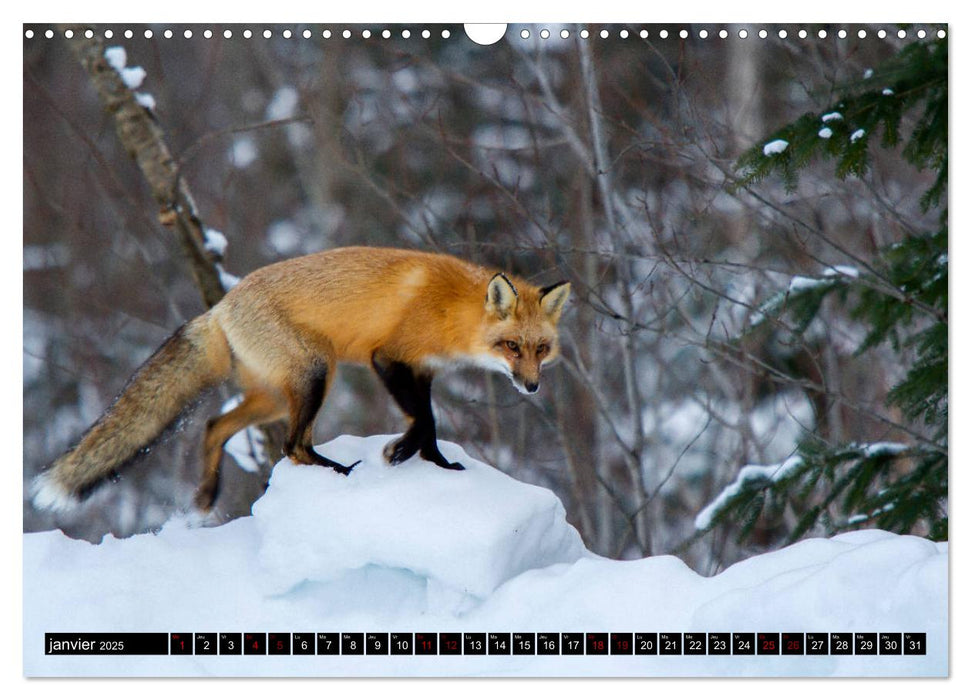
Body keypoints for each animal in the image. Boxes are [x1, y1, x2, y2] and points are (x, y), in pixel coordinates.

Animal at [32, 247, 568, 516]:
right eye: (511, 347)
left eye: (540, 350)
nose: (532, 388)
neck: (452, 309)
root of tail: (219, 307)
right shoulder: (388, 358)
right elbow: (424, 419)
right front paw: (398, 453)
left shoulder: (423, 370)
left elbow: (429, 424)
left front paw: (437, 464)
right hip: (316, 375)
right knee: (292, 445)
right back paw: (340, 472)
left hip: (276, 395)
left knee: (215, 426)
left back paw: (207, 494)